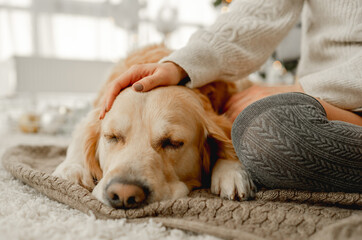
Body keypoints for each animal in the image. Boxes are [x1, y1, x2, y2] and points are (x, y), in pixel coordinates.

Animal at [53, 46, 255, 209]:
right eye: (112, 136)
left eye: (173, 142)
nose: (124, 193)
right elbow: (80, 134)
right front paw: (72, 169)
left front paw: (231, 172)